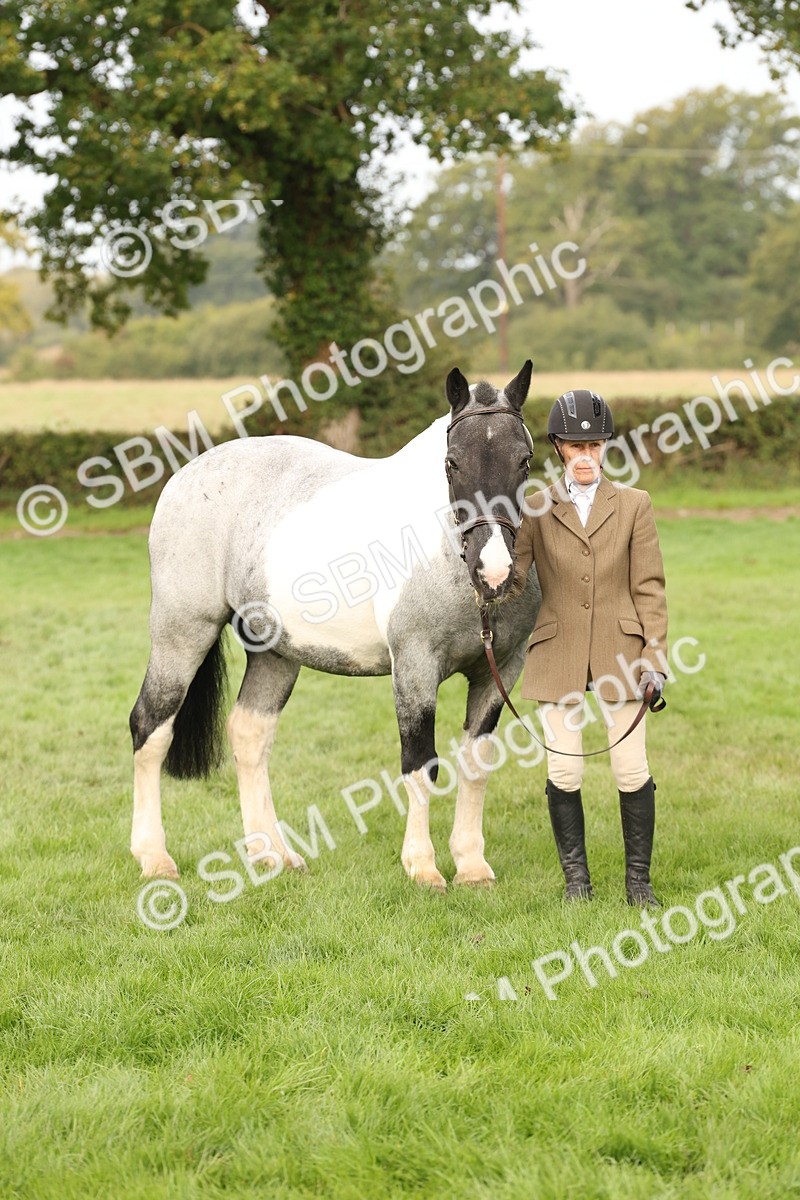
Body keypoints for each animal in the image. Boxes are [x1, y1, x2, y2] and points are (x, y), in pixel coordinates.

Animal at [129, 361, 541, 891]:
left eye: (524, 460)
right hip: (182, 632)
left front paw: (471, 865)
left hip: (275, 652)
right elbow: (420, 765)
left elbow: (475, 764)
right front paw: (423, 866)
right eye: (452, 463)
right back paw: (153, 857)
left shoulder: (499, 670)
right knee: (150, 727)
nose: (494, 570)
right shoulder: (415, 667)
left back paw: (273, 856)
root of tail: (186, 475)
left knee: (249, 734)